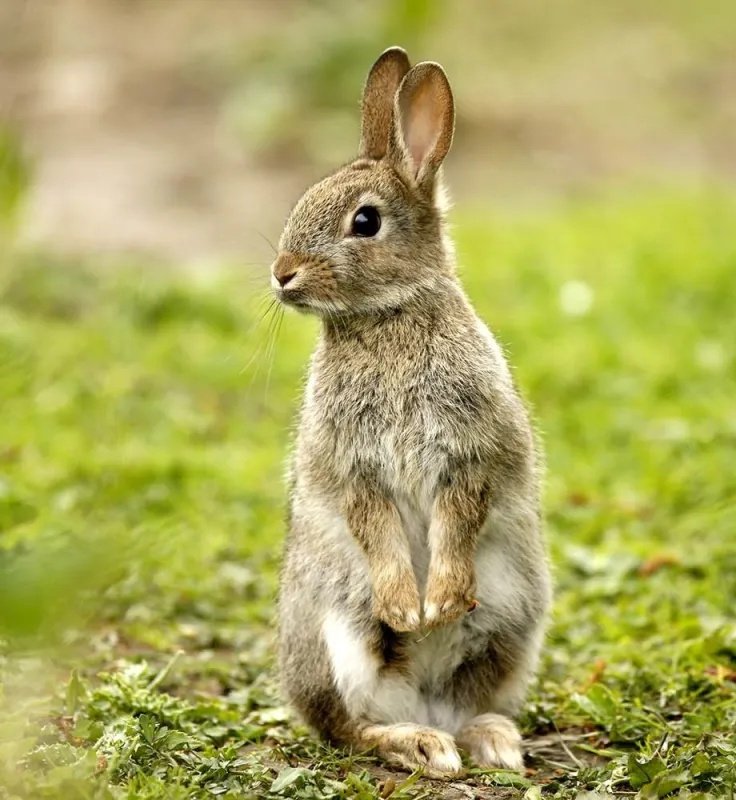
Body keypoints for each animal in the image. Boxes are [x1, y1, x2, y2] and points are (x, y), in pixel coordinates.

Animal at [274, 46, 551, 777]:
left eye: (365, 221)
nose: (282, 273)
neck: (388, 315)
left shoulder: (472, 454)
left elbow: (460, 516)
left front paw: (441, 601)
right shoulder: (355, 468)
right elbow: (374, 525)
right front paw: (408, 608)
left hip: (510, 625)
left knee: (466, 701)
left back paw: (489, 741)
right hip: (339, 636)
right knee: (352, 728)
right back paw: (419, 743)